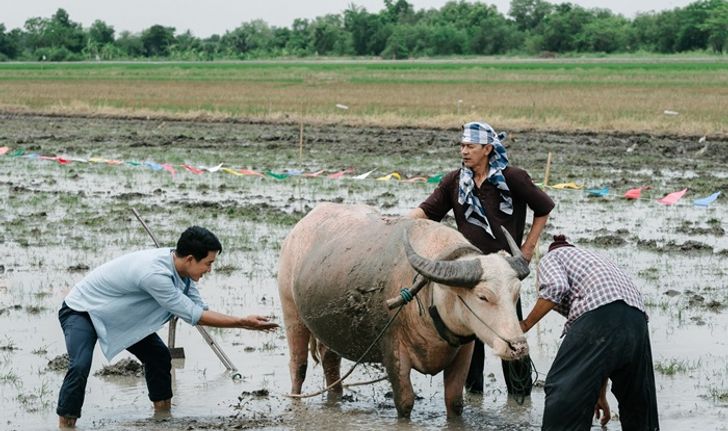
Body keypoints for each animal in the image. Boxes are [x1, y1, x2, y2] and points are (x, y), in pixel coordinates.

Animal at [278, 203, 528, 418]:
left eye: (516, 293)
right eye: (483, 296)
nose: (518, 347)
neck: (431, 293)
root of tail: (298, 229)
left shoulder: (464, 351)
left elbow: (455, 403)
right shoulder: (393, 350)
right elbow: (405, 402)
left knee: (330, 361)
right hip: (292, 313)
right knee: (298, 366)